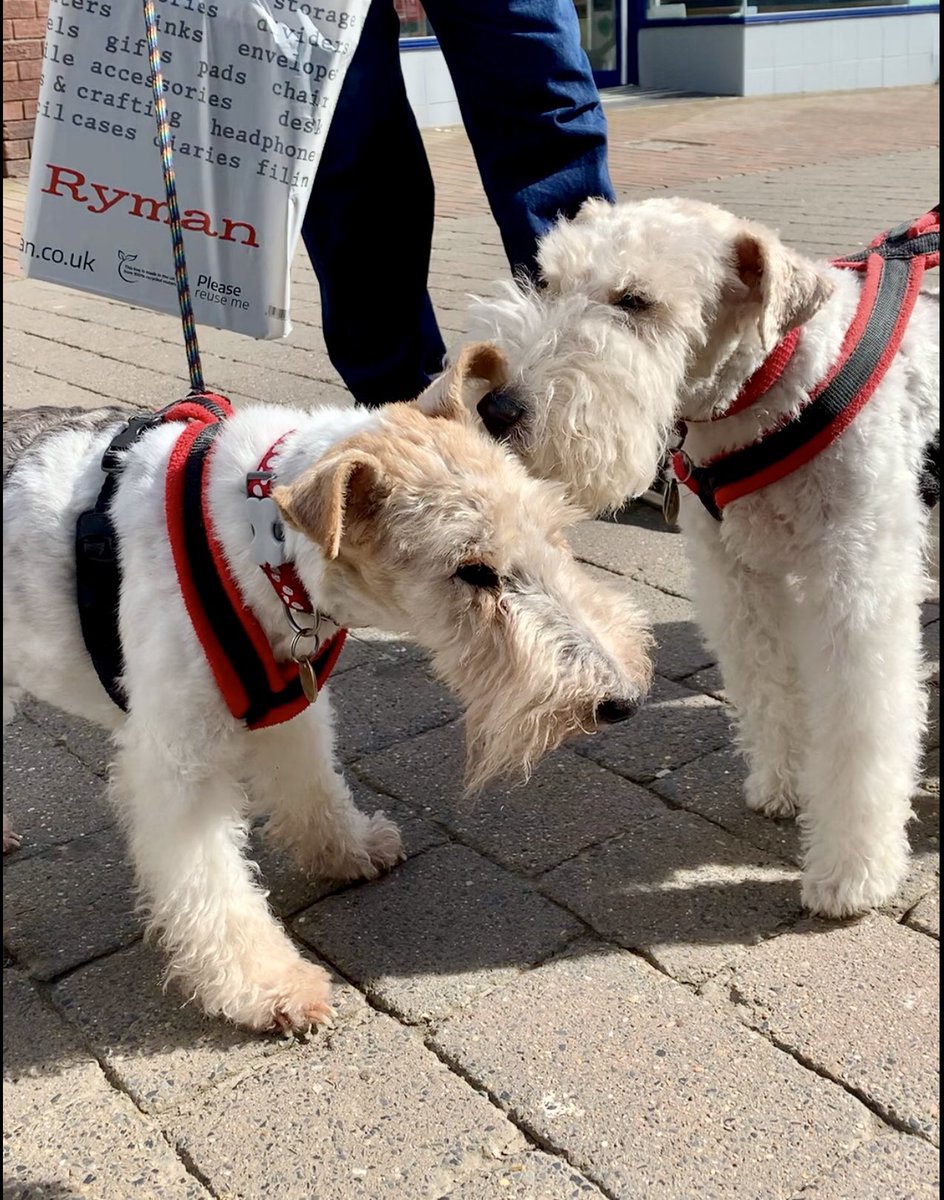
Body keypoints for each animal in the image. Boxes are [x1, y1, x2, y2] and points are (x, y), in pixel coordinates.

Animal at [1, 381, 647, 1032]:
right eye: (473, 571)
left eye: (556, 531)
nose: (622, 700)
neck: (256, 540)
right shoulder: (180, 761)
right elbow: (213, 883)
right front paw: (272, 987)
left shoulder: (292, 705)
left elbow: (315, 790)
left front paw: (353, 851)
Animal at [436, 199, 935, 916]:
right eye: (548, 280)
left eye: (636, 301)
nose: (496, 406)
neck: (769, 395)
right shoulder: (737, 578)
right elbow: (767, 685)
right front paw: (783, 785)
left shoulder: (857, 583)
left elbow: (861, 724)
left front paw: (850, 875)